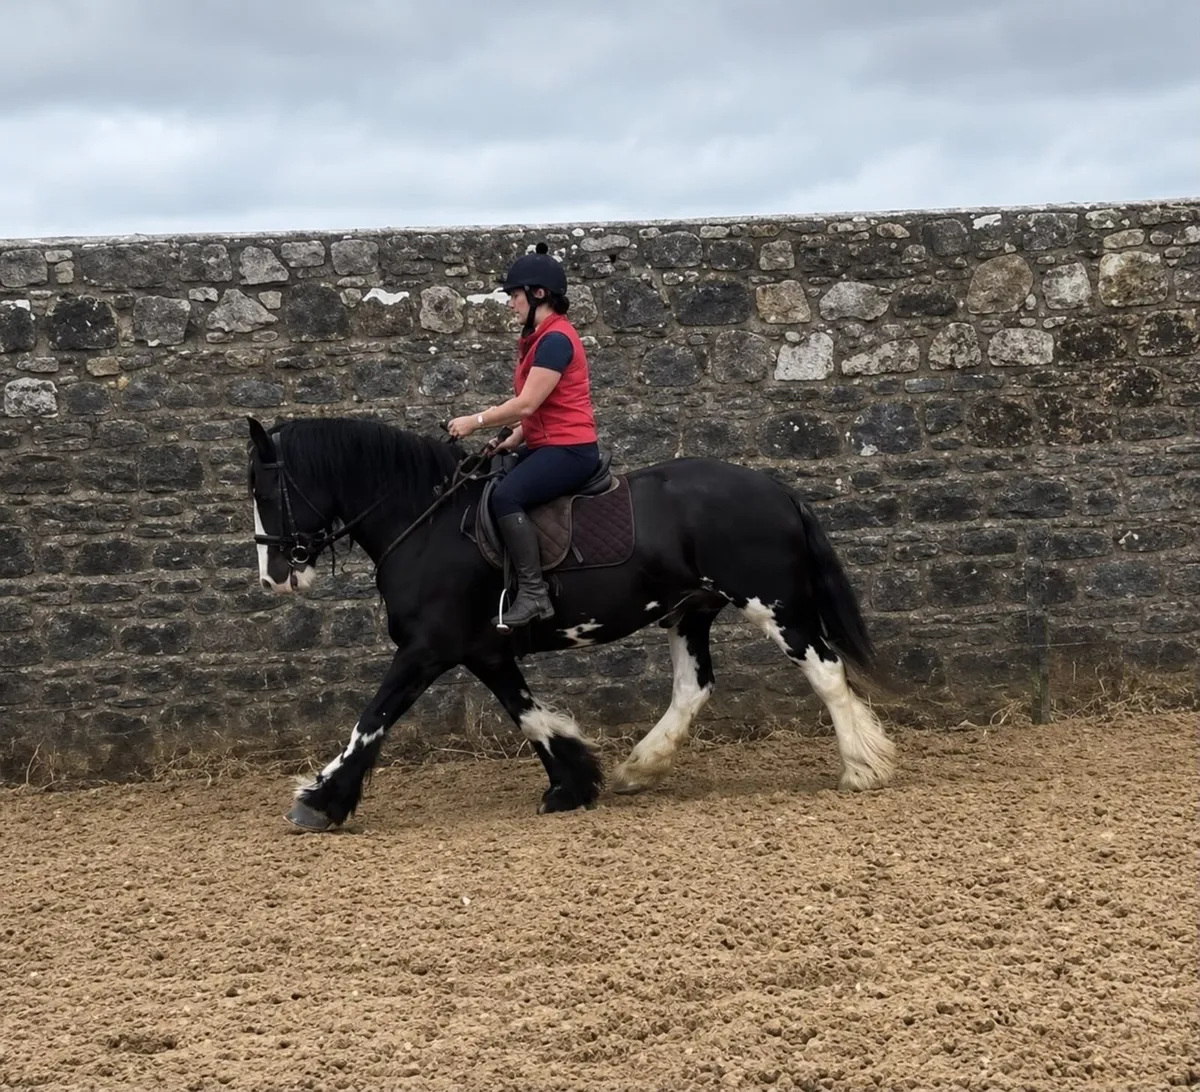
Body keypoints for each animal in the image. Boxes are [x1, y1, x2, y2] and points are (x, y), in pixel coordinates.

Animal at [246, 415, 897, 830]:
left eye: (267, 491)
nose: (275, 577)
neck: (427, 522)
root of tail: (777, 489)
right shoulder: (484, 650)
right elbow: (528, 714)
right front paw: (573, 782)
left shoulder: (427, 648)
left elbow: (373, 719)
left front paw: (320, 801)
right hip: (691, 612)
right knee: (694, 688)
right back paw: (641, 766)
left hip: (772, 605)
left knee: (826, 670)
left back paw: (862, 767)